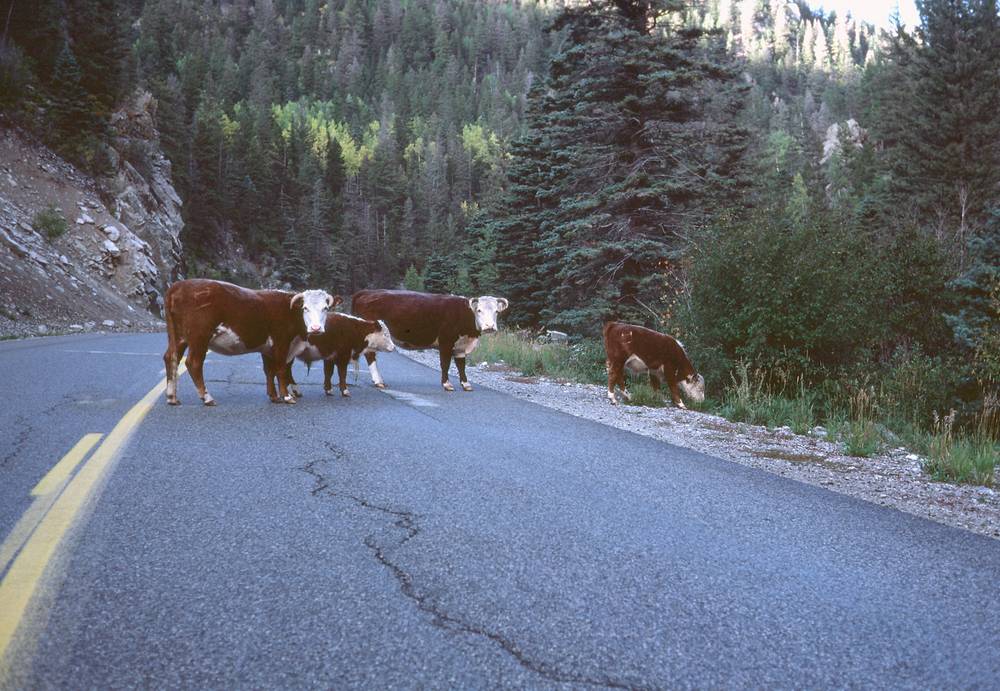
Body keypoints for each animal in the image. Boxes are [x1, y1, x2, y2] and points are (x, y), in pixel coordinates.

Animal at [161, 278, 340, 406]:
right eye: (305, 308)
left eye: (325, 308)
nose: (316, 328)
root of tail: (179, 285)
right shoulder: (281, 343)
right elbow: (281, 369)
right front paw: (287, 397)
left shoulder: (267, 348)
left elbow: (269, 371)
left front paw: (274, 396)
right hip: (199, 337)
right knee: (193, 363)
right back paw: (207, 397)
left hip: (178, 338)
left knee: (171, 358)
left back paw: (172, 397)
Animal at [350, 290, 508, 392]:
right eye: (479, 310)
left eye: (496, 311)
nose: (489, 326)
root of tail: (366, 292)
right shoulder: (446, 342)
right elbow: (445, 364)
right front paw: (447, 384)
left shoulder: (460, 346)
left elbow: (461, 365)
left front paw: (466, 384)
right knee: (370, 356)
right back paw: (379, 381)